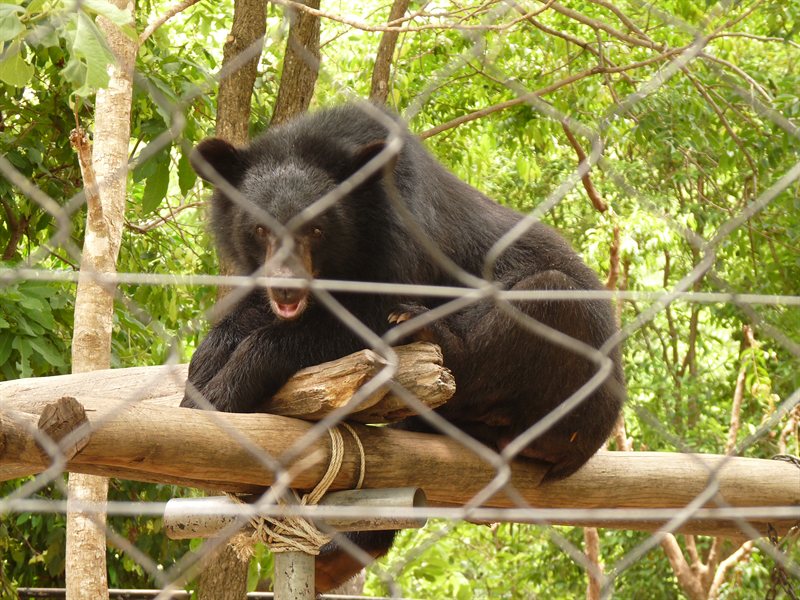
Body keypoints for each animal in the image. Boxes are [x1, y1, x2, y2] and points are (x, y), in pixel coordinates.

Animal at [181, 103, 625, 591]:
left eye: (316, 230)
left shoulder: (405, 245)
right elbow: (243, 319)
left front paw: (224, 393)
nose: (286, 288)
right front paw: (201, 377)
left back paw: (423, 332)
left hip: (576, 376)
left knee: (541, 296)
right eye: (259, 229)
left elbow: (351, 322)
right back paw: (335, 559)